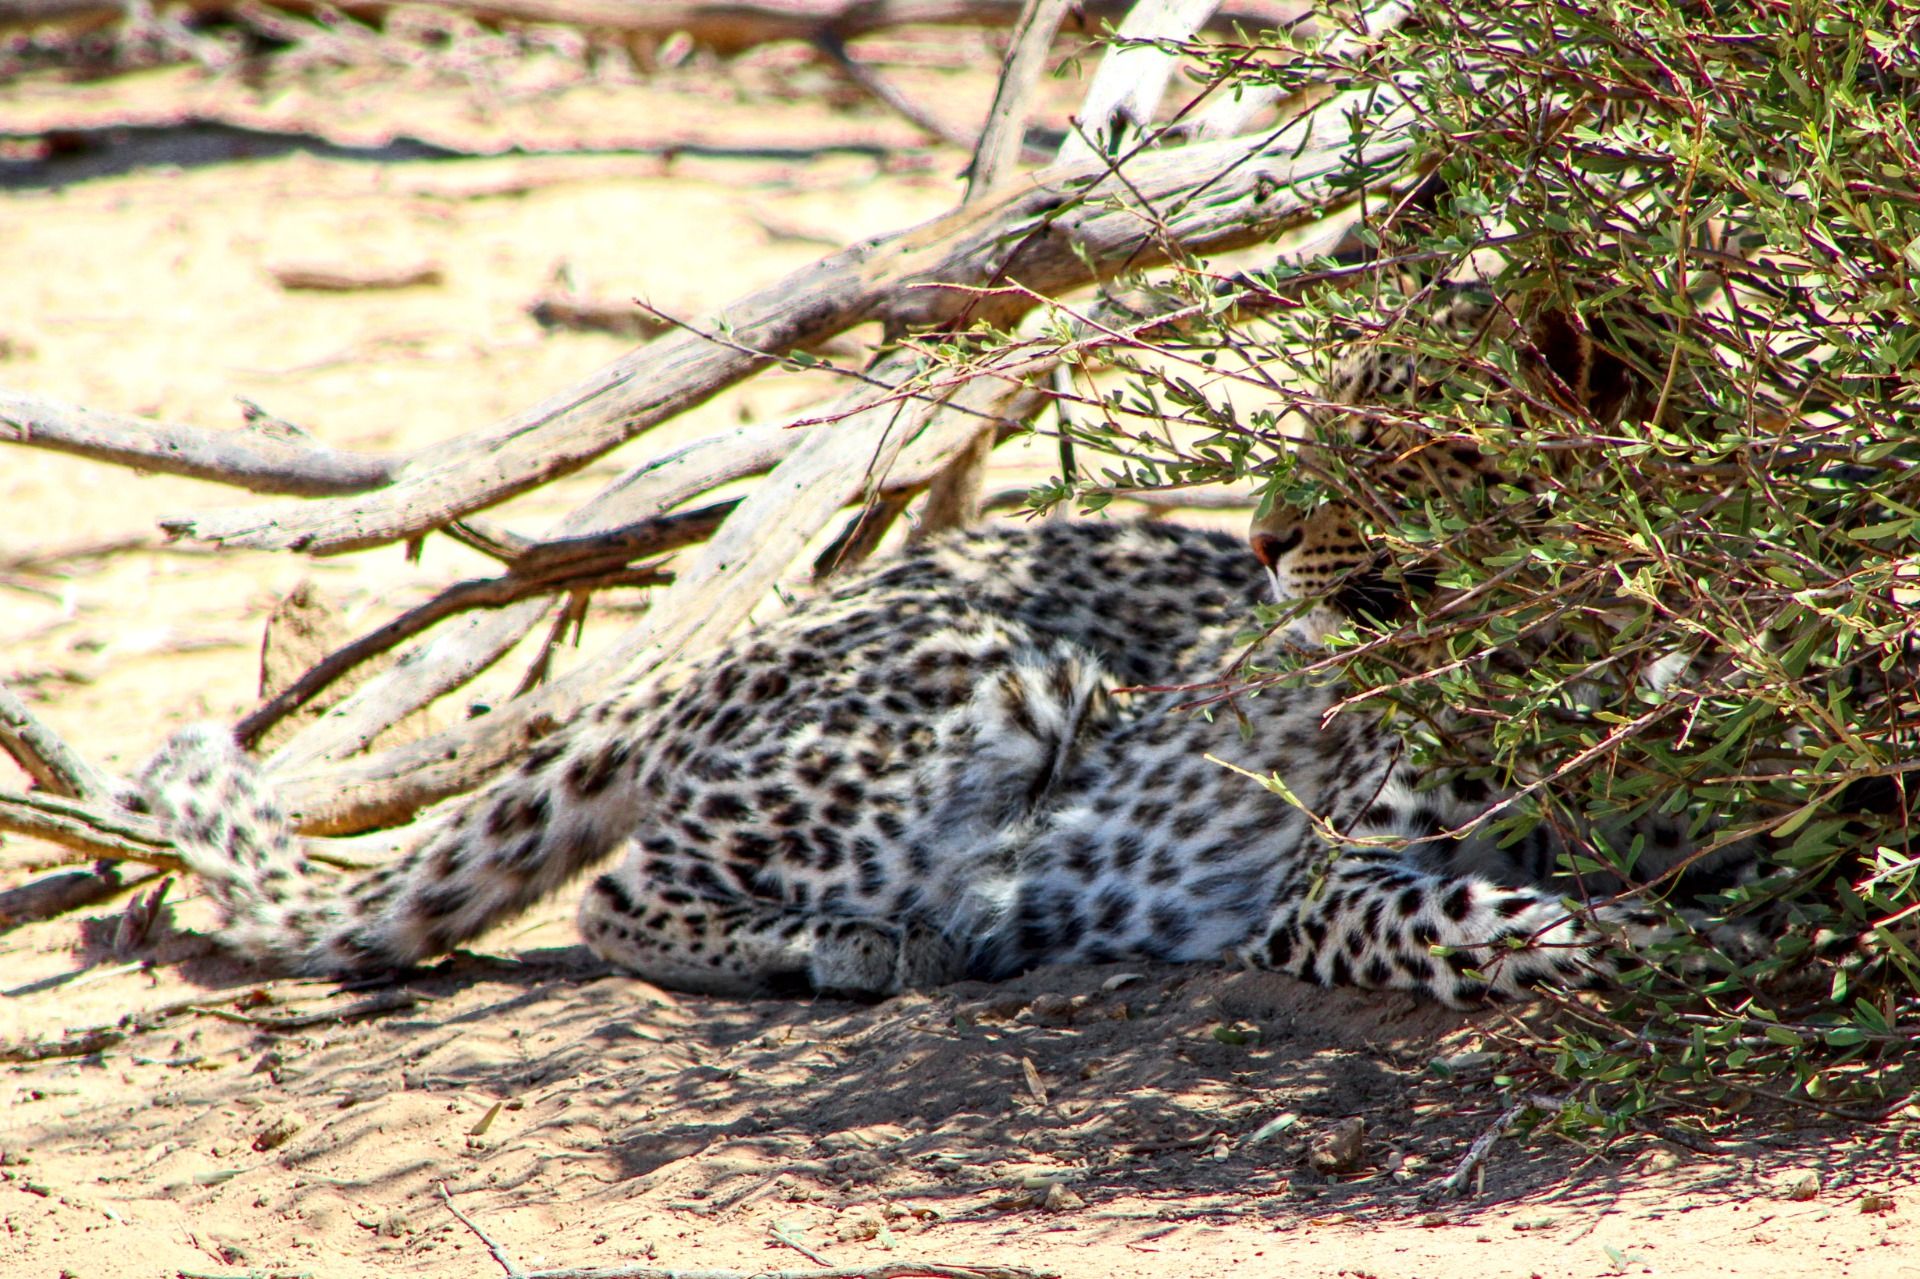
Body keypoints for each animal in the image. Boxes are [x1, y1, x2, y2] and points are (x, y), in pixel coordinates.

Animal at [131, 303, 1754, 1008]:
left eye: (1389, 441)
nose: (1268, 541)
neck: (1580, 657)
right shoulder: (1323, 881)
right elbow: (1475, 914)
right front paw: (1634, 943)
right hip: (994, 686)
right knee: (620, 889)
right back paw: (864, 942)